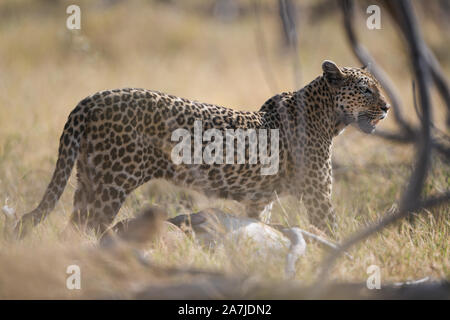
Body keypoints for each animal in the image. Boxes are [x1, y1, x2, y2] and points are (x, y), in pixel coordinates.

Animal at [11, 60, 390, 238]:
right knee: (85, 229)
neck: (331, 119)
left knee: (71, 229)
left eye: (376, 88)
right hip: (110, 184)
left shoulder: (260, 200)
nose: (387, 107)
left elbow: (258, 227)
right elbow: (333, 232)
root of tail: (91, 98)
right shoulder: (317, 195)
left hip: (88, 181)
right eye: (365, 89)